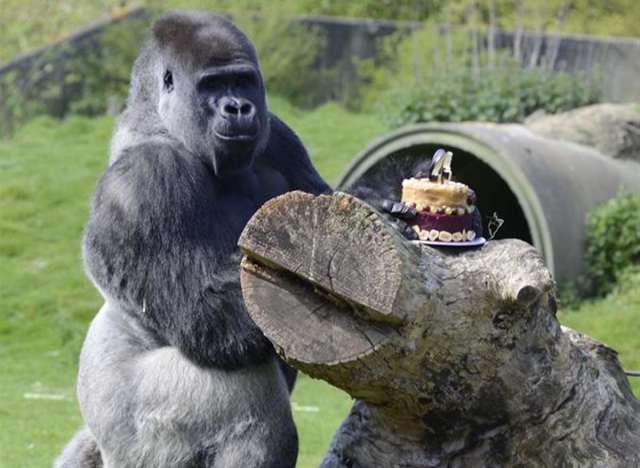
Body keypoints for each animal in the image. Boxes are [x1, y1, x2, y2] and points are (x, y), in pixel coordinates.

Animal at [55, 11, 330, 468]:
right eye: (211, 86)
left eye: (241, 81)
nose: (238, 107)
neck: (159, 119)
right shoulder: (147, 179)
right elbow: (204, 309)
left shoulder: (279, 135)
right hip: (132, 433)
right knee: (250, 403)